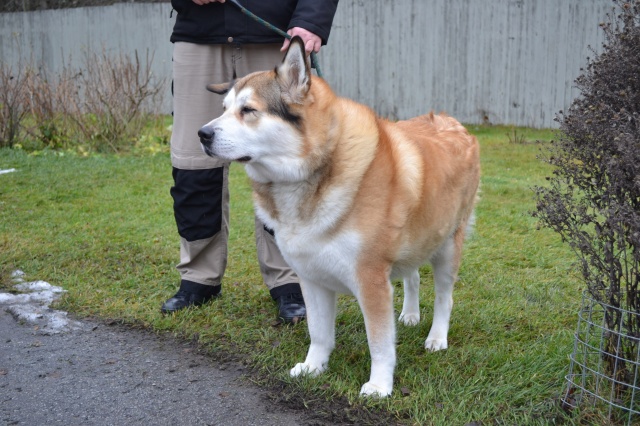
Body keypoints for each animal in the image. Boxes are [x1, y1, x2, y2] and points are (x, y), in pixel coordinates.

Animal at [198, 36, 481, 397]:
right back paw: (410, 314)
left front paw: (380, 385)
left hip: (447, 246)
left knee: (445, 297)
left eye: (248, 110)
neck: (315, 170)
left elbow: (379, 342)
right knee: (413, 276)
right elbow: (319, 333)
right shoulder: (310, 277)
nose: (202, 134)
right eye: (223, 110)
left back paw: (436, 337)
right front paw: (313, 367)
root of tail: (452, 121)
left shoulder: (371, 280)